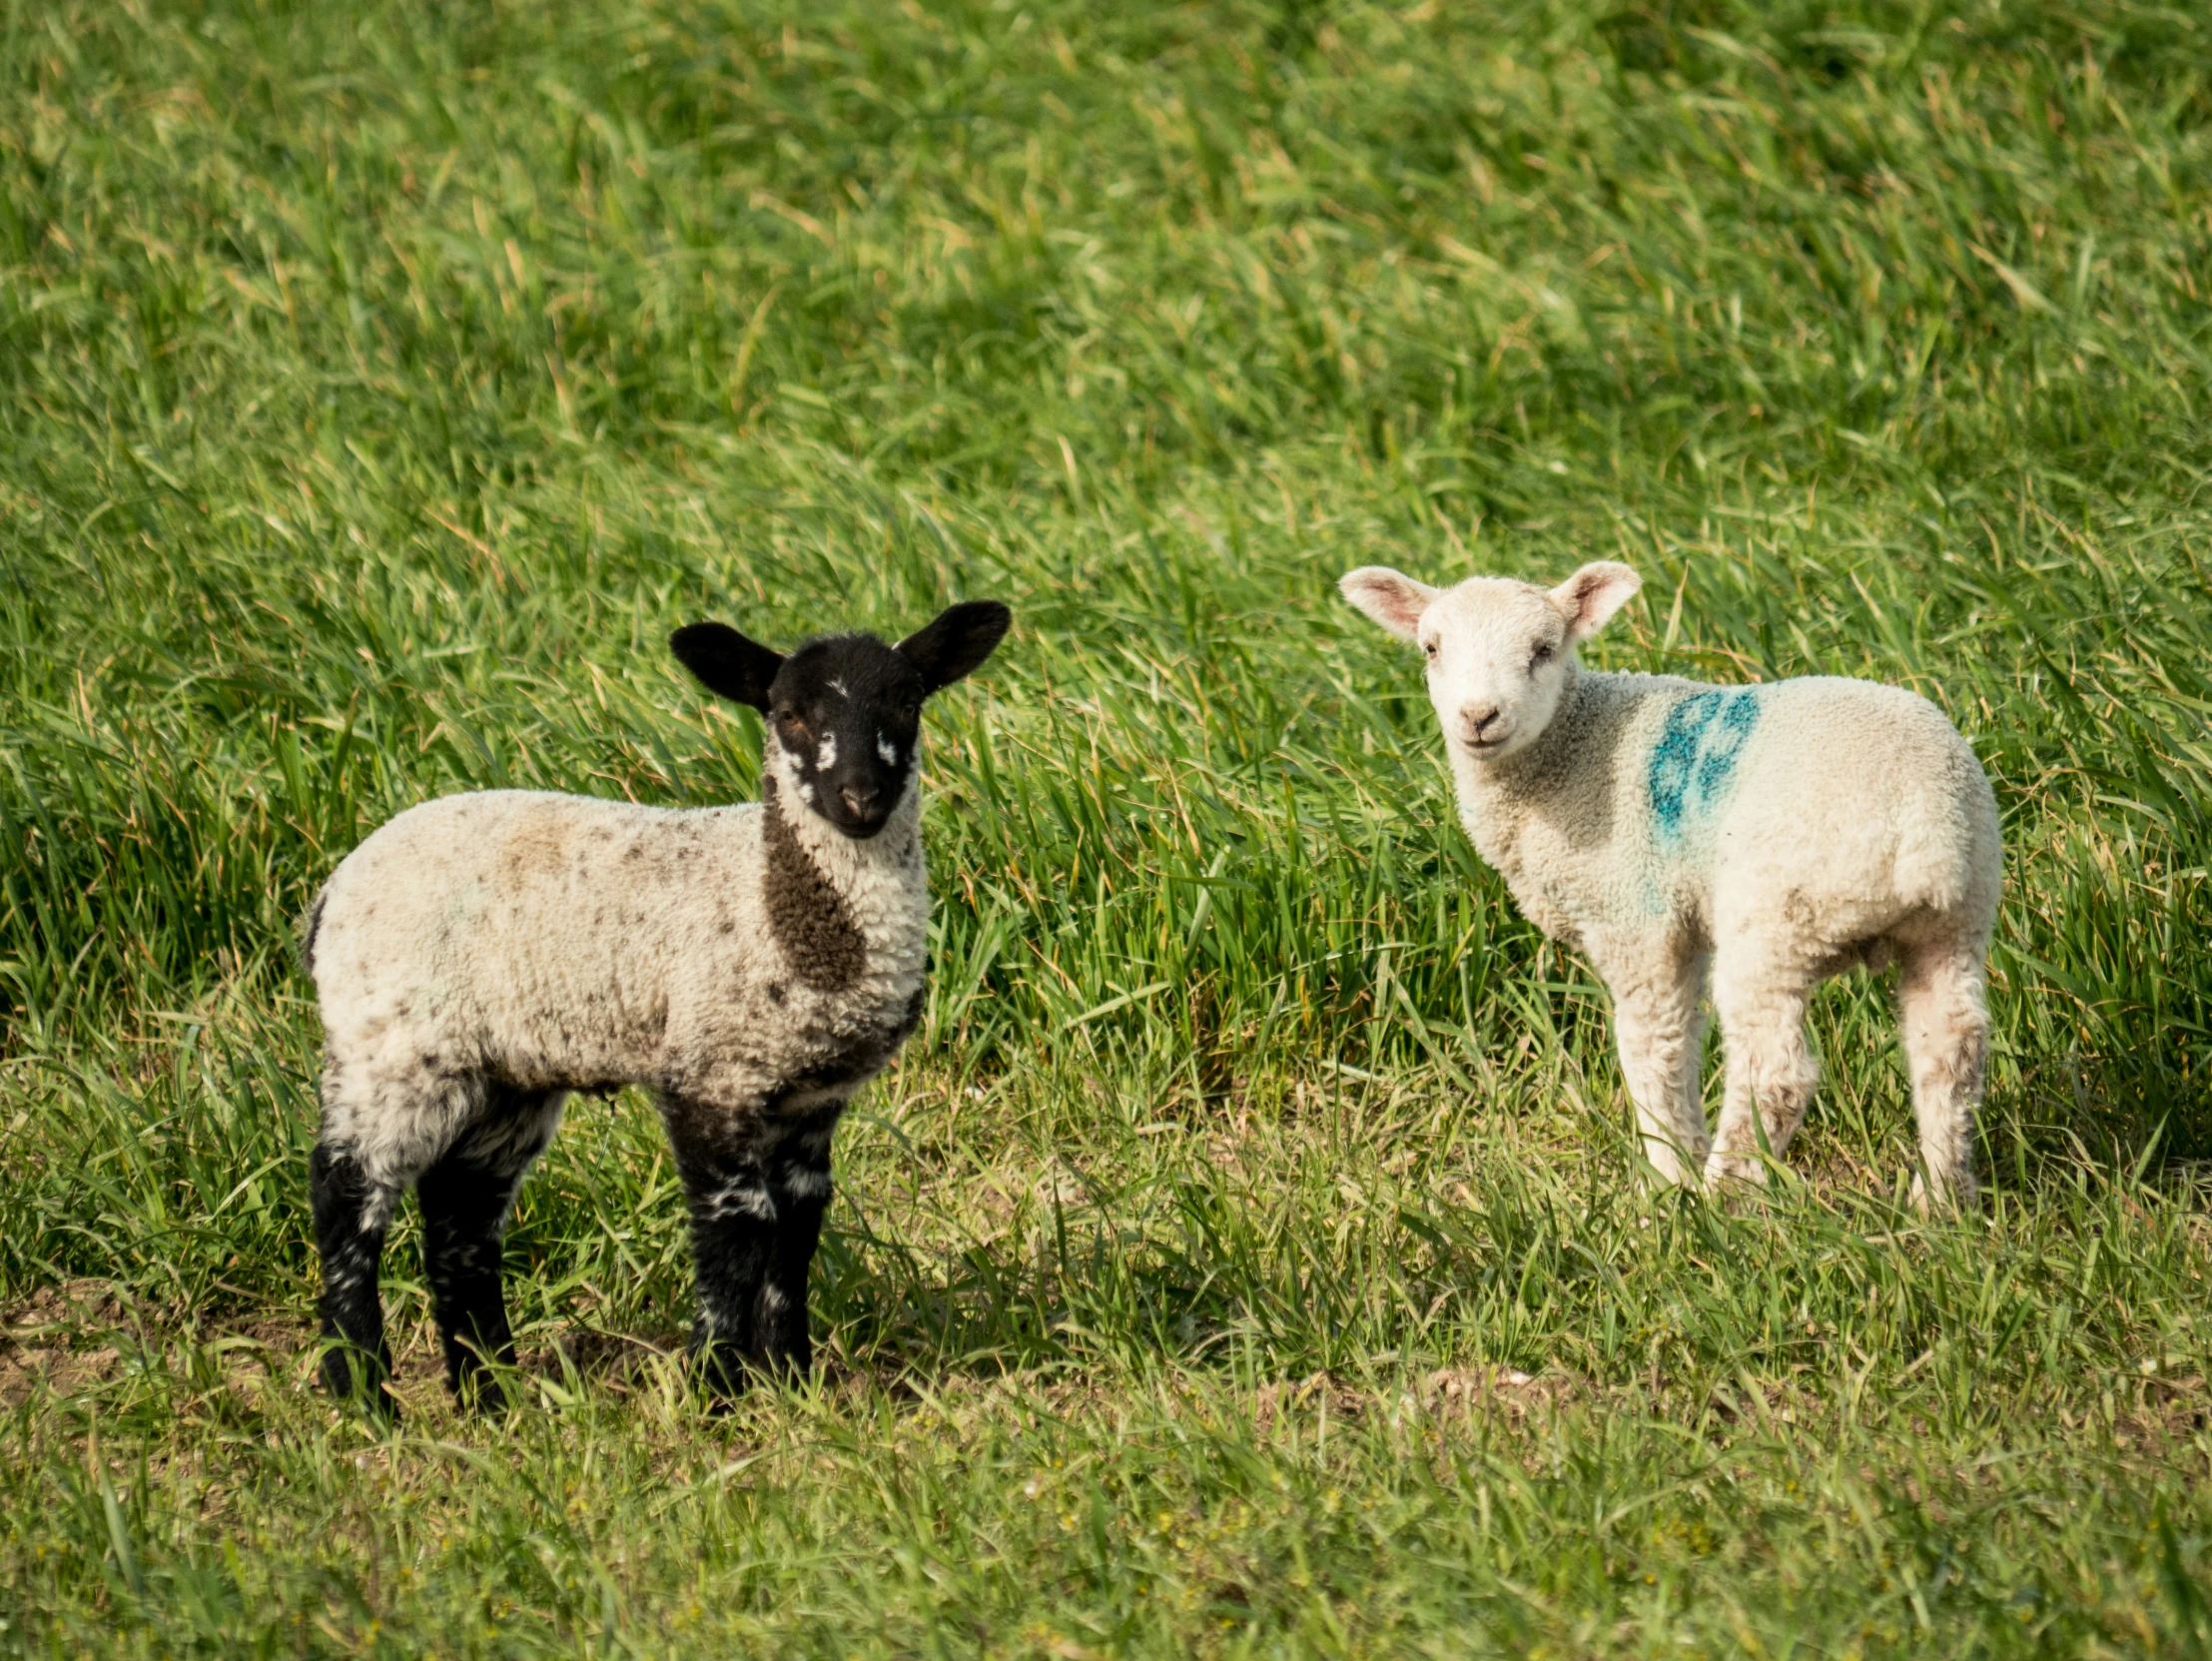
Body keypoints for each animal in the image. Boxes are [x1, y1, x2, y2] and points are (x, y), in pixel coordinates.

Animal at [303, 601, 1013, 1415]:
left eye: (906, 701)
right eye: (790, 714)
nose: (860, 799)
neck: (780, 907)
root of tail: (332, 890)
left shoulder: (808, 1098)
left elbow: (797, 1228)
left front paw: (793, 1383)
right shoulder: (710, 1070)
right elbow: (738, 1225)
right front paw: (714, 1390)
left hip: (506, 1070)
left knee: (462, 1214)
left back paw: (492, 1395)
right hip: (390, 1041)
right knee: (348, 1192)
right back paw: (363, 1392)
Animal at [1344, 561, 2008, 1212]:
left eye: (1543, 649)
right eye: (1431, 649)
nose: (1478, 717)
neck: (1571, 752)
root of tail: (1924, 824)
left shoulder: (1635, 917)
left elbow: (1652, 1049)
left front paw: (1667, 1185)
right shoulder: (1679, 921)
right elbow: (1681, 1039)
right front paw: (1678, 1167)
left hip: (1777, 916)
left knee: (1775, 1073)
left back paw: (1724, 1200)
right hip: (1959, 917)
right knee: (1951, 1049)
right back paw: (1940, 1201)